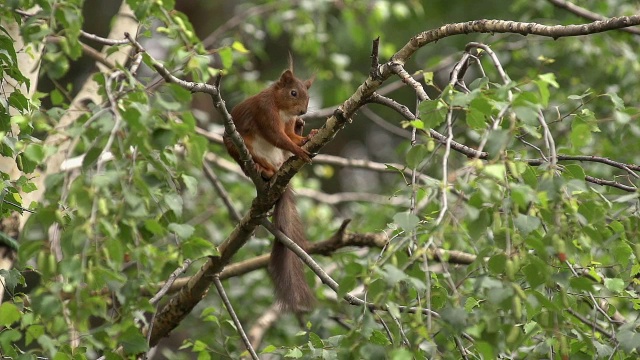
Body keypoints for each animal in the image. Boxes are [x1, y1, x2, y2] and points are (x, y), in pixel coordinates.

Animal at [222, 66, 318, 310]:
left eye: (308, 95)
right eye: (293, 93)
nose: (303, 112)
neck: (281, 108)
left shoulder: (289, 122)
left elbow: (289, 135)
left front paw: (306, 138)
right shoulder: (264, 112)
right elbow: (277, 136)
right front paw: (299, 149)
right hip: (239, 147)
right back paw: (261, 169)